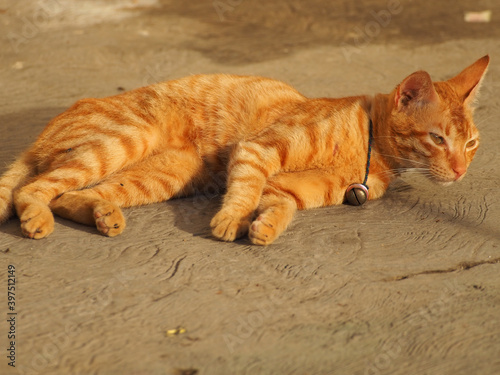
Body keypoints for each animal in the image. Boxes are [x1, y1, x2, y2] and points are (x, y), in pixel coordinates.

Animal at [0, 55, 490, 244]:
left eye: (470, 143)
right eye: (438, 139)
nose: (461, 171)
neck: (370, 148)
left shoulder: (295, 187)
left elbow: (278, 204)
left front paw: (264, 227)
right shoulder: (260, 150)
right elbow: (246, 189)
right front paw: (232, 220)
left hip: (155, 176)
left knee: (68, 195)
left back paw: (104, 215)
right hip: (121, 142)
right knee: (34, 189)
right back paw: (37, 219)